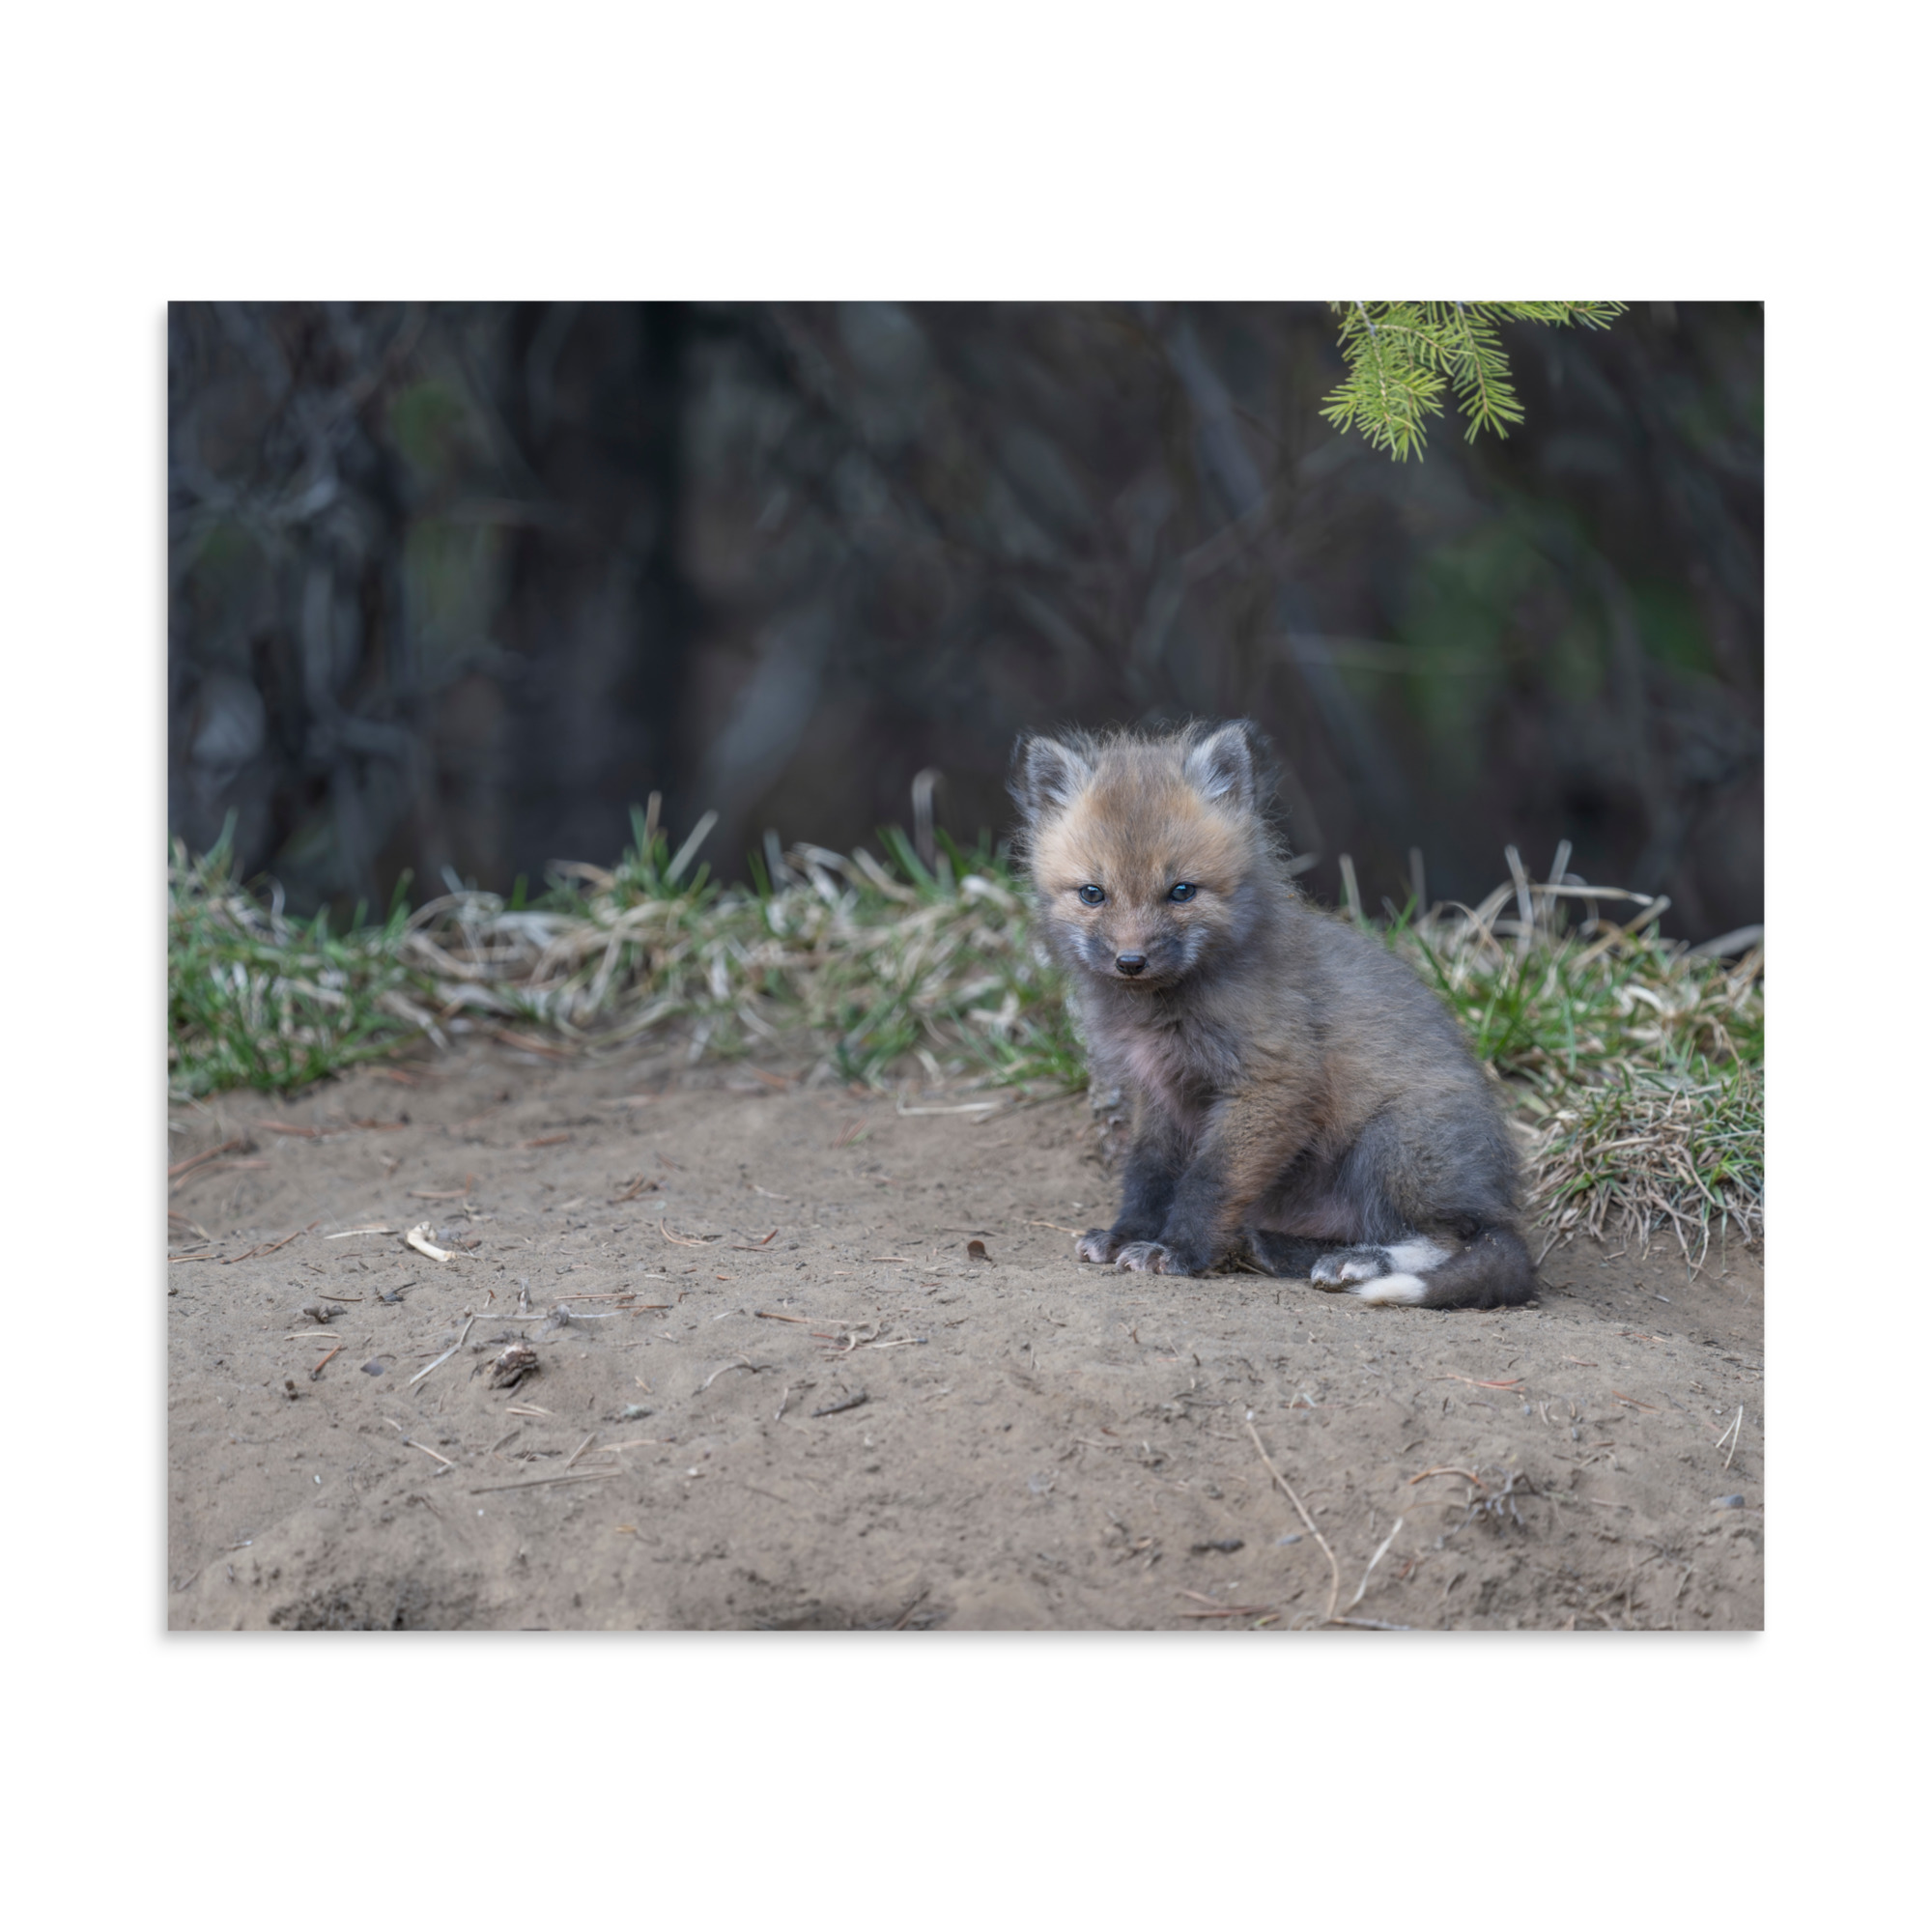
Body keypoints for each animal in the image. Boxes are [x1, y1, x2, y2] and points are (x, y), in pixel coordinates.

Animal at [1010, 719, 1536, 1310]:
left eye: (1181, 891)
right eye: (1093, 894)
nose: (1130, 961)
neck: (1161, 1011)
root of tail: (1498, 1197)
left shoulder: (1271, 1083)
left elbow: (1208, 1181)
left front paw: (1178, 1251)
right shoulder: (1159, 1093)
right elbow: (1148, 1174)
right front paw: (1127, 1235)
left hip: (1393, 1144)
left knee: (1455, 1238)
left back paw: (1359, 1263)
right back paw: (1277, 1248)